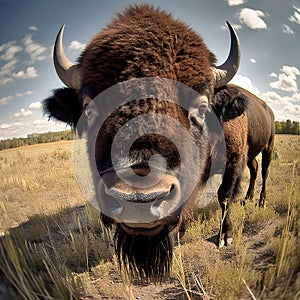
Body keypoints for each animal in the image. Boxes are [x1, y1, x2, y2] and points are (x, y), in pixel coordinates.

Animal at [42, 4, 274, 282]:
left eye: (202, 107)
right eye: (89, 109)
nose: (138, 199)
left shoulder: (234, 158)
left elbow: (224, 196)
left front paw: (224, 236)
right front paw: (182, 231)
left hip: (268, 147)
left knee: (264, 170)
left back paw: (260, 201)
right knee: (254, 169)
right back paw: (248, 197)